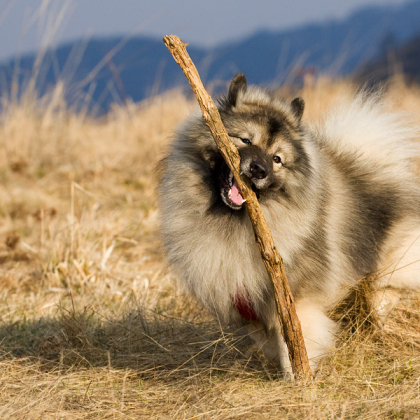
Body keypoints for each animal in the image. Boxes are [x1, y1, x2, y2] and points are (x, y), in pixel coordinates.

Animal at [158, 74, 420, 372]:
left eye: (277, 159)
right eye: (245, 140)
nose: (258, 170)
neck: (235, 222)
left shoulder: (297, 302)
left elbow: (294, 343)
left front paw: (299, 377)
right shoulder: (249, 307)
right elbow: (271, 342)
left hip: (390, 270)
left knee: (386, 293)